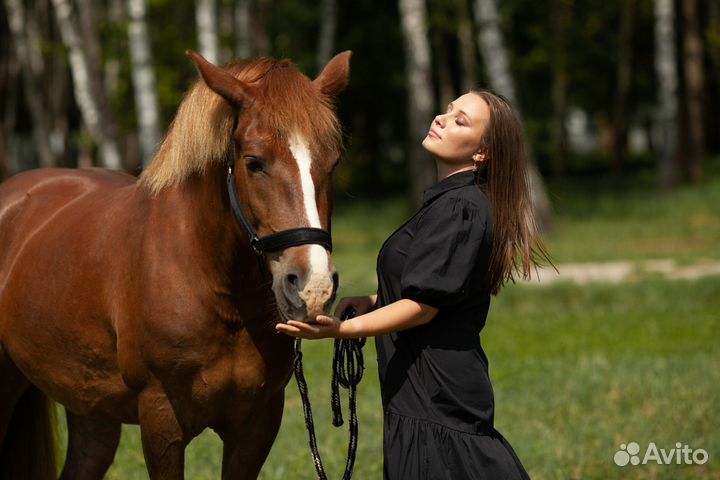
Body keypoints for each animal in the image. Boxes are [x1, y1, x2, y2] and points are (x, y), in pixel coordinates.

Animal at [0, 49, 352, 480]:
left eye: (333, 162)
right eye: (254, 162)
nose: (312, 286)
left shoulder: (256, 426)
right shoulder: (161, 420)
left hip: (91, 411)